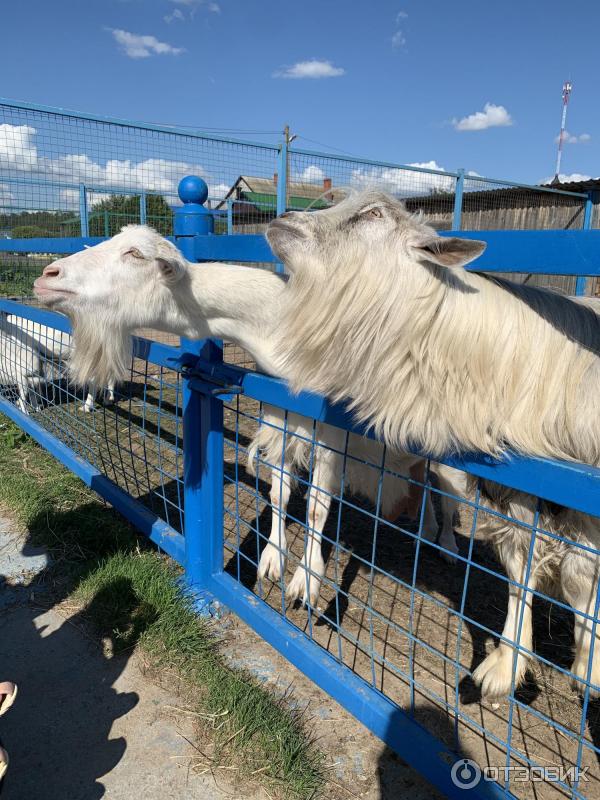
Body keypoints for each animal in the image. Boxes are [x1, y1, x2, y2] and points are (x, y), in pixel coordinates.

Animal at [262, 191, 600, 696]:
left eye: (373, 214)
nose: (282, 221)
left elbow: (580, 576)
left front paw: (585, 664)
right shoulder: (521, 488)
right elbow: (521, 570)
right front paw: (506, 665)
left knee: (442, 501)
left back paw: (444, 545)